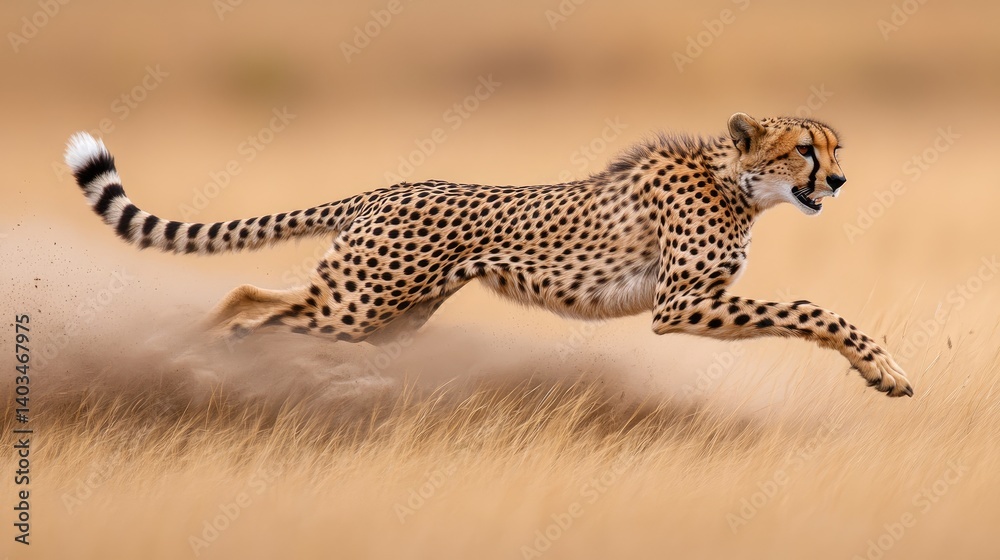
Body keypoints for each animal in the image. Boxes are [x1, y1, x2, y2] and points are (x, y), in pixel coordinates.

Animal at [63, 112, 912, 397]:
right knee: (257, 317)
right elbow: (810, 309)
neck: (734, 180)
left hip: (386, 315)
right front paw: (884, 371)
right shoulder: (680, 306)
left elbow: (805, 309)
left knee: (249, 298)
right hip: (361, 307)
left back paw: (191, 351)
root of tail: (390, 187)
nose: (839, 180)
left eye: (835, 148)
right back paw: (216, 365)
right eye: (805, 148)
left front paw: (882, 371)